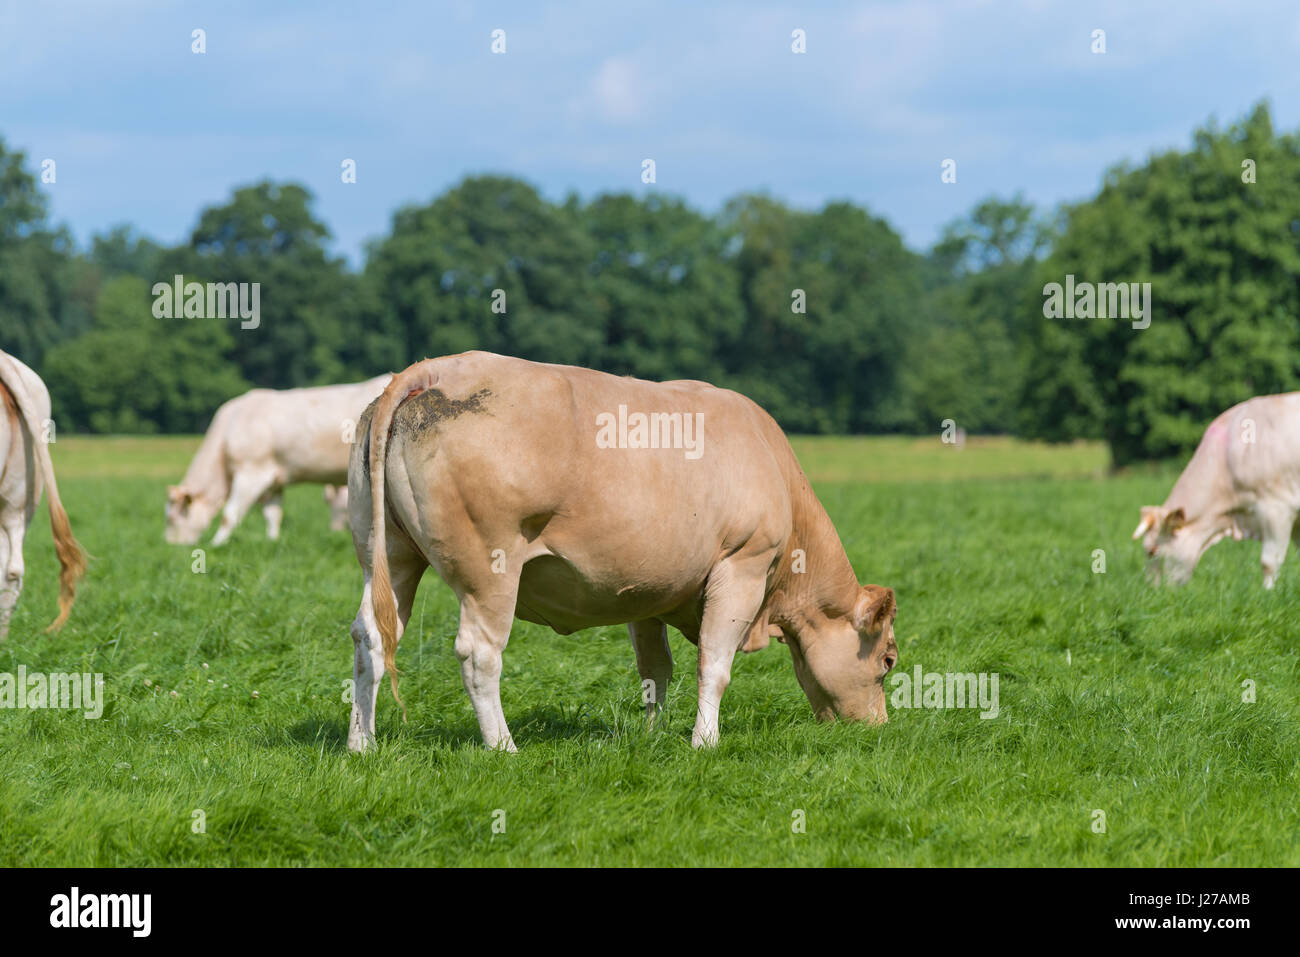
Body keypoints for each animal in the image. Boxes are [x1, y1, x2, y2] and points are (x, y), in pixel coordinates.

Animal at [166, 375, 391, 545]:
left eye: (172, 519)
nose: (170, 546)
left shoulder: (251, 474)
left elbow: (229, 515)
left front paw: (216, 544)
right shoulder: (273, 482)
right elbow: (273, 515)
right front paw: (272, 541)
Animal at [345, 351, 899, 752]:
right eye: (889, 660)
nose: (878, 728)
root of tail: (437, 367)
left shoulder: (648, 593)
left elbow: (656, 670)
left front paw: (653, 735)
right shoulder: (743, 565)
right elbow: (715, 664)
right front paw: (705, 742)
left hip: (389, 553)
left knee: (370, 635)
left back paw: (362, 744)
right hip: (489, 568)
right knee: (479, 653)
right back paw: (504, 747)